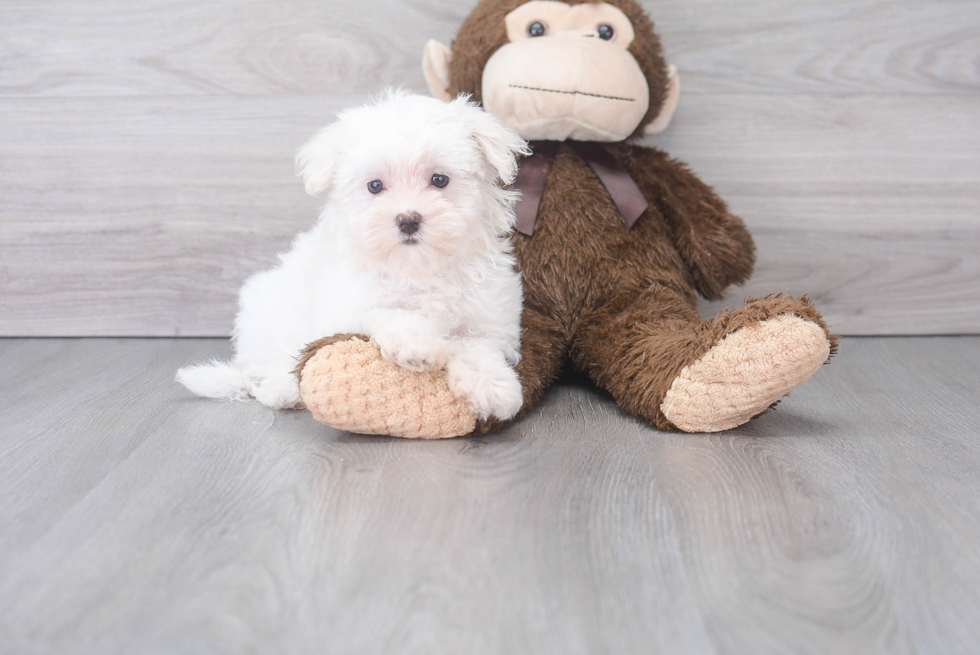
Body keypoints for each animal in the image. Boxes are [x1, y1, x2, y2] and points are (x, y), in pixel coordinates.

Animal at [176, 89, 528, 422]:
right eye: (374, 186)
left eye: (440, 179)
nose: (408, 220)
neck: (415, 267)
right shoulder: (346, 306)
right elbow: (387, 312)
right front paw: (418, 345)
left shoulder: (485, 319)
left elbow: (477, 348)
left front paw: (493, 388)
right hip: (269, 319)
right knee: (266, 373)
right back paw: (284, 389)